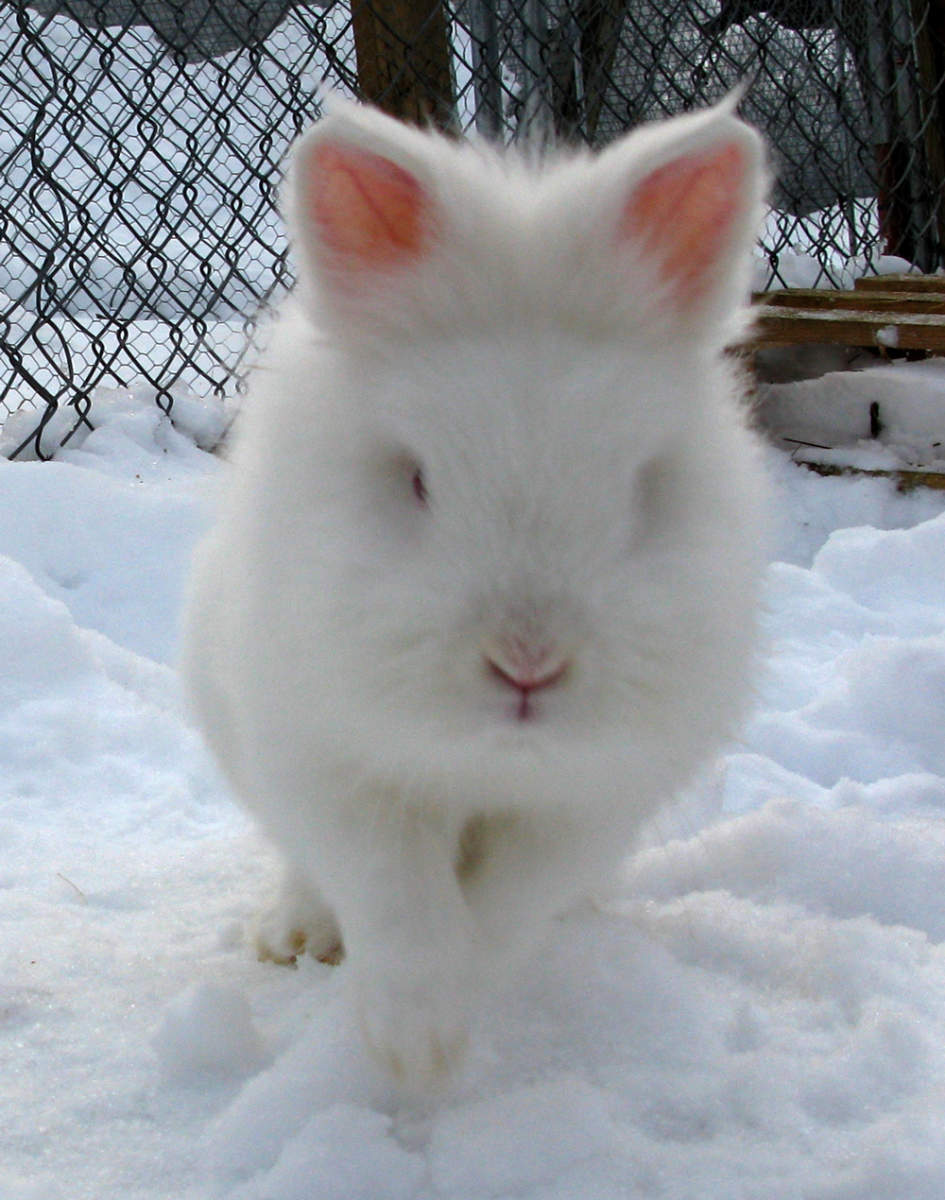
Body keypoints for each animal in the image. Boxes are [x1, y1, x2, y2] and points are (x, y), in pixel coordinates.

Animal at [180, 95, 769, 1088]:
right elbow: (398, 903)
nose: (527, 663)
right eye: (417, 480)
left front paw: (440, 1039)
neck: (490, 753)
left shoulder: (585, 806)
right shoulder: (333, 767)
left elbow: (498, 912)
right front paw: (411, 1047)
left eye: (640, 488)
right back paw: (296, 938)